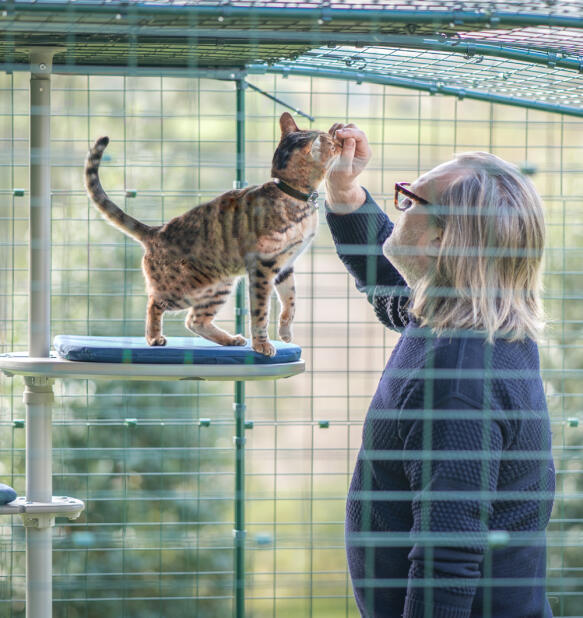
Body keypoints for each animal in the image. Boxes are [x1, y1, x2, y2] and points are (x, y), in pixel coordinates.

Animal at [86, 110, 342, 356]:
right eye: (330, 143)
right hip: (184, 288)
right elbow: (260, 312)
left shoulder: (285, 265)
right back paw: (154, 338)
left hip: (219, 286)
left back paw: (230, 340)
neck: (290, 194)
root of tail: (156, 232)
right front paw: (262, 345)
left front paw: (286, 332)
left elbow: (290, 301)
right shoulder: (263, 267)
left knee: (194, 320)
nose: (339, 141)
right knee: (155, 302)